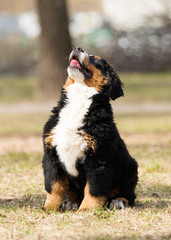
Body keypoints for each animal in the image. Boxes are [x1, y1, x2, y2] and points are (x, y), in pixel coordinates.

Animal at [42, 47, 138, 212]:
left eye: (97, 61)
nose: (78, 48)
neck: (79, 99)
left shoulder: (99, 158)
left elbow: (94, 189)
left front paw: (87, 209)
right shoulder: (51, 155)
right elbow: (54, 186)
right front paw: (50, 208)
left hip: (130, 170)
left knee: (128, 194)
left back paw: (118, 201)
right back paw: (71, 202)